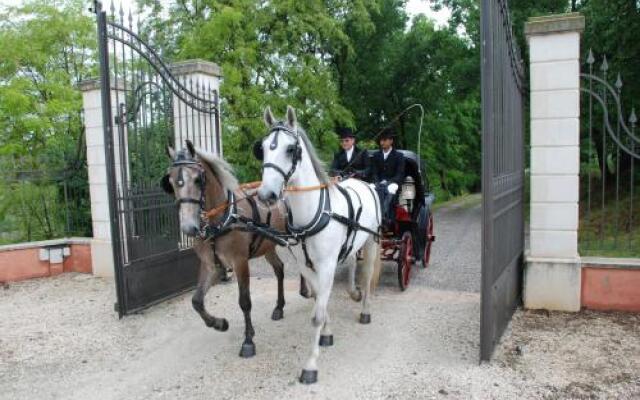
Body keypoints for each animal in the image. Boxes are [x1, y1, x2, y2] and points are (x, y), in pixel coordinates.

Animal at [256, 104, 380, 382]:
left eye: (291, 149)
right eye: (263, 147)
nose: (266, 195)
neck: (313, 211)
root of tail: (363, 181)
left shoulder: (326, 265)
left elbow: (317, 313)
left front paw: (311, 365)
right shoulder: (307, 266)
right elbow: (318, 302)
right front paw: (326, 333)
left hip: (372, 240)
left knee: (367, 274)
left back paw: (366, 309)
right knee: (353, 263)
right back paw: (354, 292)